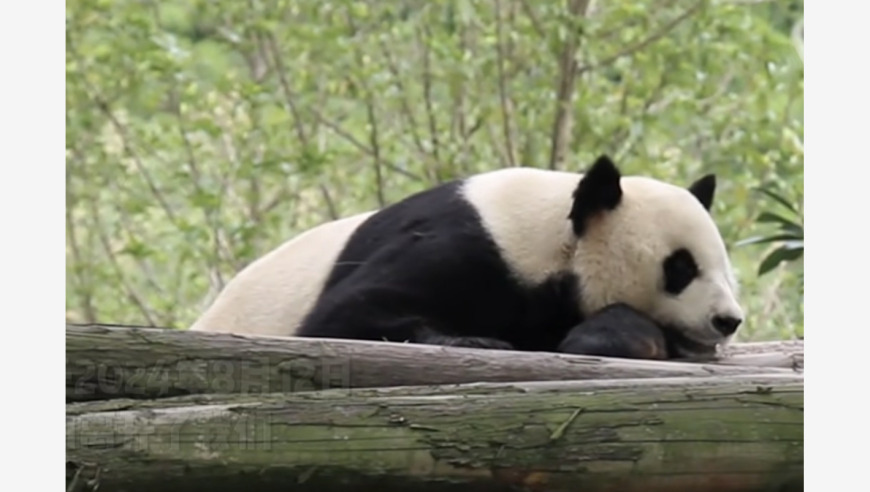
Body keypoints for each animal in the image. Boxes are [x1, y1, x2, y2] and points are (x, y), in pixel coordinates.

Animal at [189, 156, 744, 360]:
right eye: (681, 267)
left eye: (726, 271)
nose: (728, 320)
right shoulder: (465, 246)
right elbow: (342, 319)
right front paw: (474, 338)